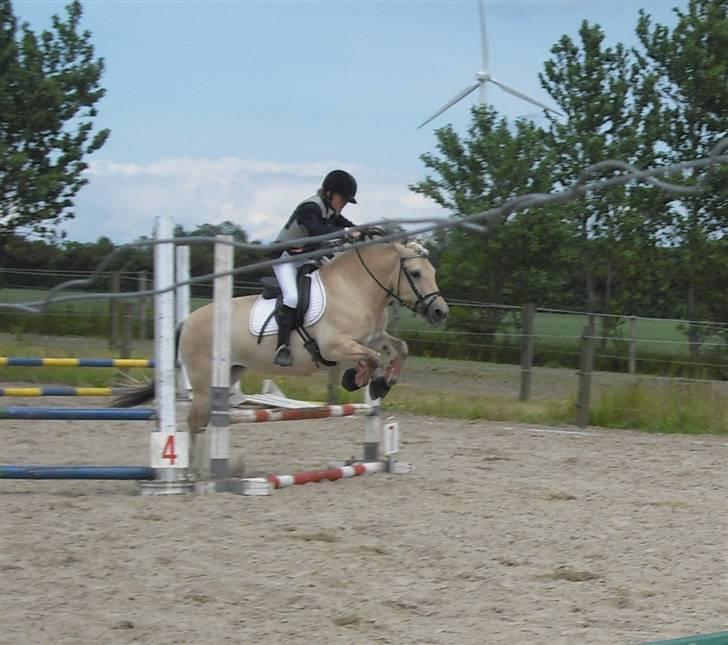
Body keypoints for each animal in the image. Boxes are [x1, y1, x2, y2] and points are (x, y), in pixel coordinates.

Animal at [112, 239, 450, 450]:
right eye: (416, 273)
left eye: (432, 272)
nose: (440, 312)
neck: (354, 287)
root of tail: (187, 321)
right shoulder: (334, 345)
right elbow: (372, 358)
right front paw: (361, 380)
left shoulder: (372, 337)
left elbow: (398, 348)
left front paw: (382, 382)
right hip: (205, 383)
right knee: (195, 422)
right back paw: (192, 475)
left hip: (229, 372)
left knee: (204, 421)